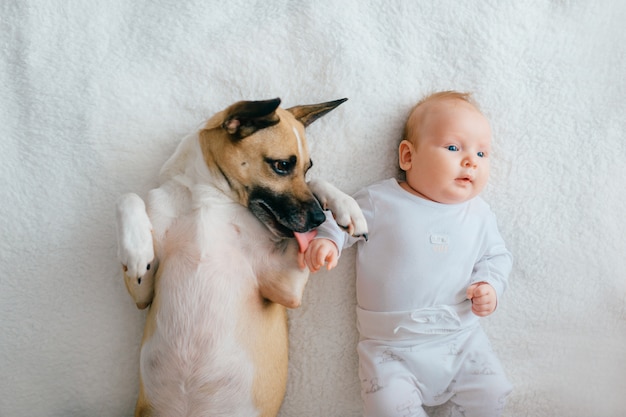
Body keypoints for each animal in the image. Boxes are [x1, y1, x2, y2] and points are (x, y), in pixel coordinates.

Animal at [116, 96, 366, 414]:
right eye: (282, 165)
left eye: (307, 168)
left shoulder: (285, 288)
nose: (319, 219)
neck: (207, 196)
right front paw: (136, 248)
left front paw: (345, 208)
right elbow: (127, 197)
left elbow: (319, 185)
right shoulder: (142, 293)